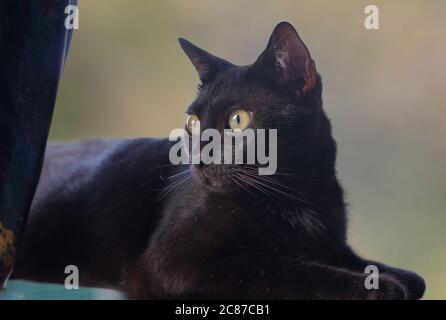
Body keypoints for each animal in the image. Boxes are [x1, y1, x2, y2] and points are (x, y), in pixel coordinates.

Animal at [13, 22, 426, 300]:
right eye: (193, 122)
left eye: (238, 119)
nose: (198, 157)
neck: (295, 194)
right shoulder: (177, 261)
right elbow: (285, 267)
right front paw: (379, 286)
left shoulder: (332, 245)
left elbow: (410, 276)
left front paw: (396, 276)